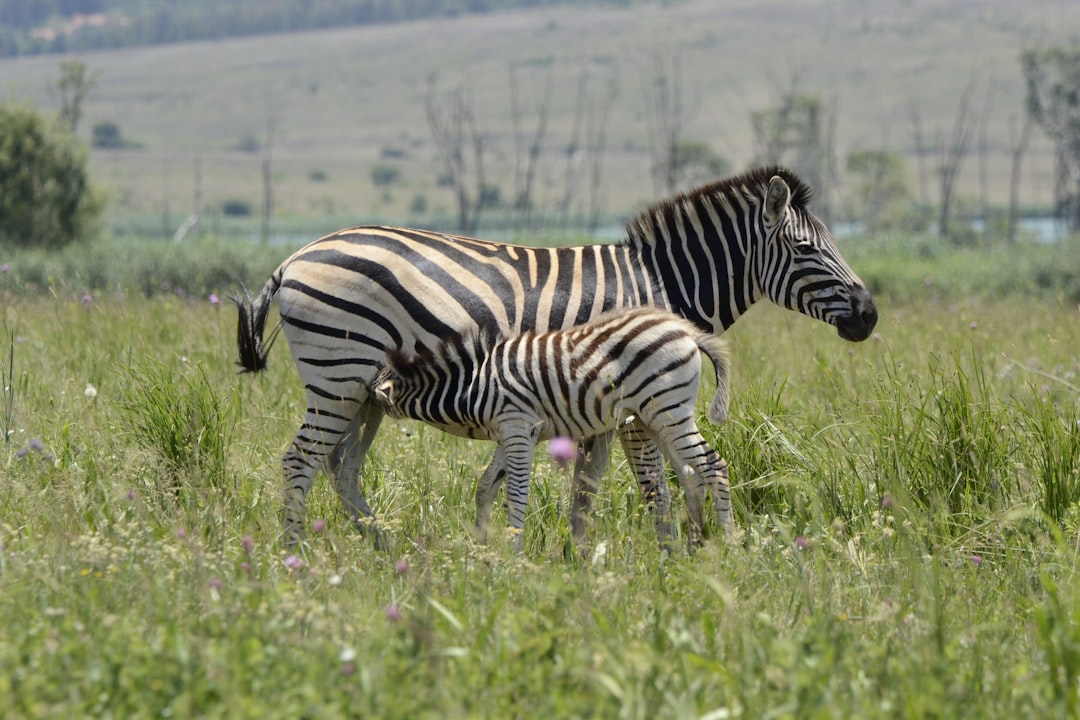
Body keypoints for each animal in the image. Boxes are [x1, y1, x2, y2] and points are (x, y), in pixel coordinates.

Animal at [372, 306, 734, 553]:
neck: (473, 385)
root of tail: (684, 329)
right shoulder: (511, 431)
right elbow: (486, 486)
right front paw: (482, 549)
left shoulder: (518, 426)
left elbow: (516, 494)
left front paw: (514, 556)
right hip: (655, 417)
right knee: (691, 474)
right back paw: (695, 547)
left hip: (669, 409)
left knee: (713, 466)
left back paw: (729, 546)